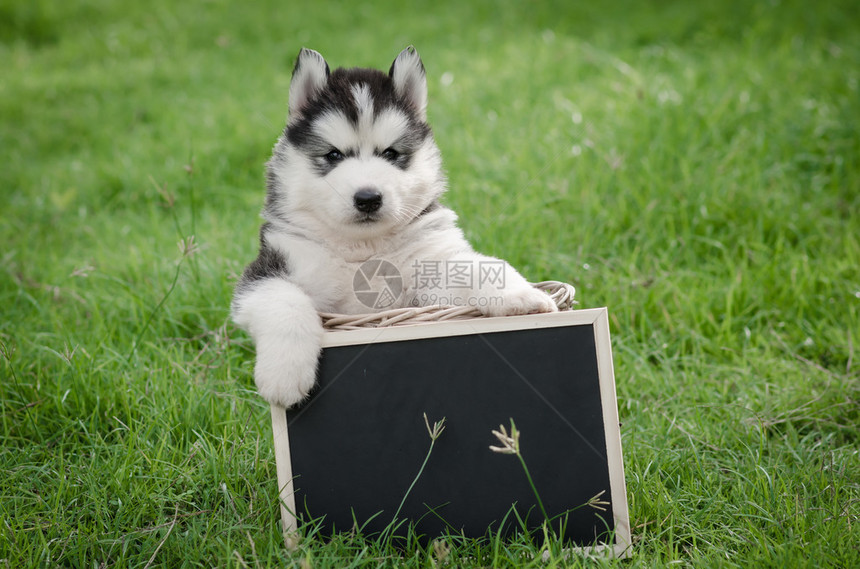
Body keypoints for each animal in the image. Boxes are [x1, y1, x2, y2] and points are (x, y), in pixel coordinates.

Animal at [233, 46, 556, 406]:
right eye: (333, 155)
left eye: (390, 153)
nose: (368, 198)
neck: (363, 249)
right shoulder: (266, 271)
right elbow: (284, 299)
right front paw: (284, 376)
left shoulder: (427, 273)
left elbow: (474, 267)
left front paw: (521, 295)